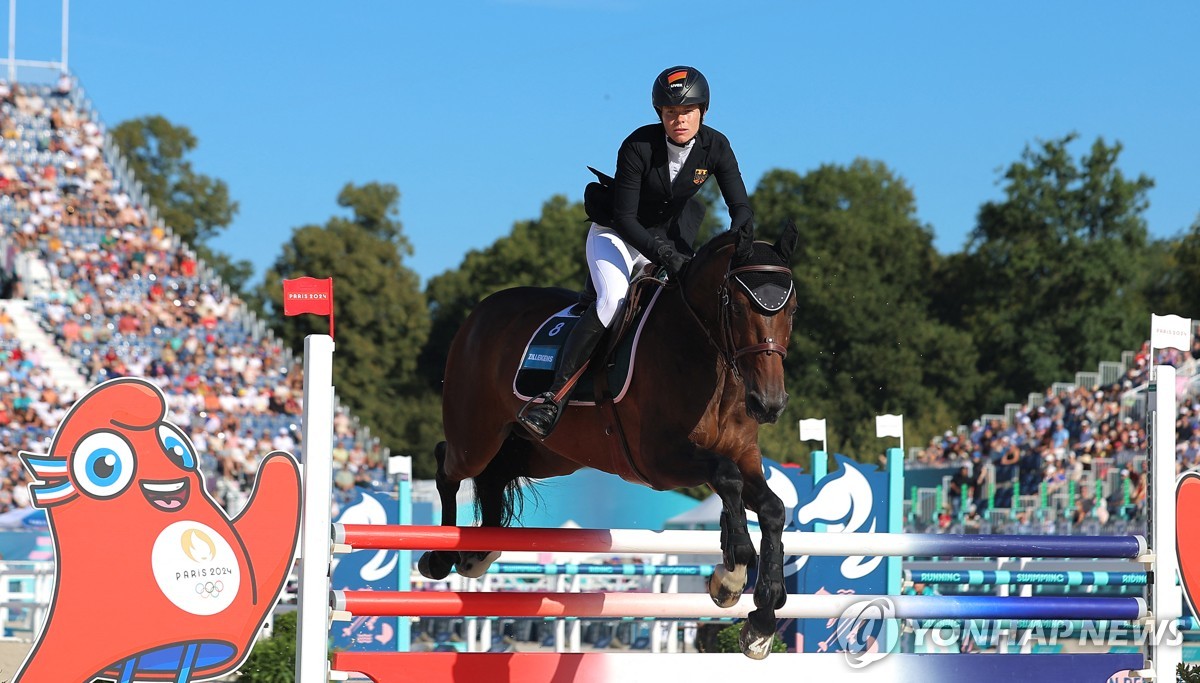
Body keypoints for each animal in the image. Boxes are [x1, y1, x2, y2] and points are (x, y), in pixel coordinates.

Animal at [422, 220, 796, 657]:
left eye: (791, 309)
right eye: (737, 307)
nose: (768, 404)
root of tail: (482, 311)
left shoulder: (744, 454)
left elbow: (772, 508)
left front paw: (762, 618)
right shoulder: (659, 459)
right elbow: (727, 477)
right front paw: (732, 572)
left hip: (546, 454)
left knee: (495, 476)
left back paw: (478, 551)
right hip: (476, 437)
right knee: (448, 463)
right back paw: (440, 556)